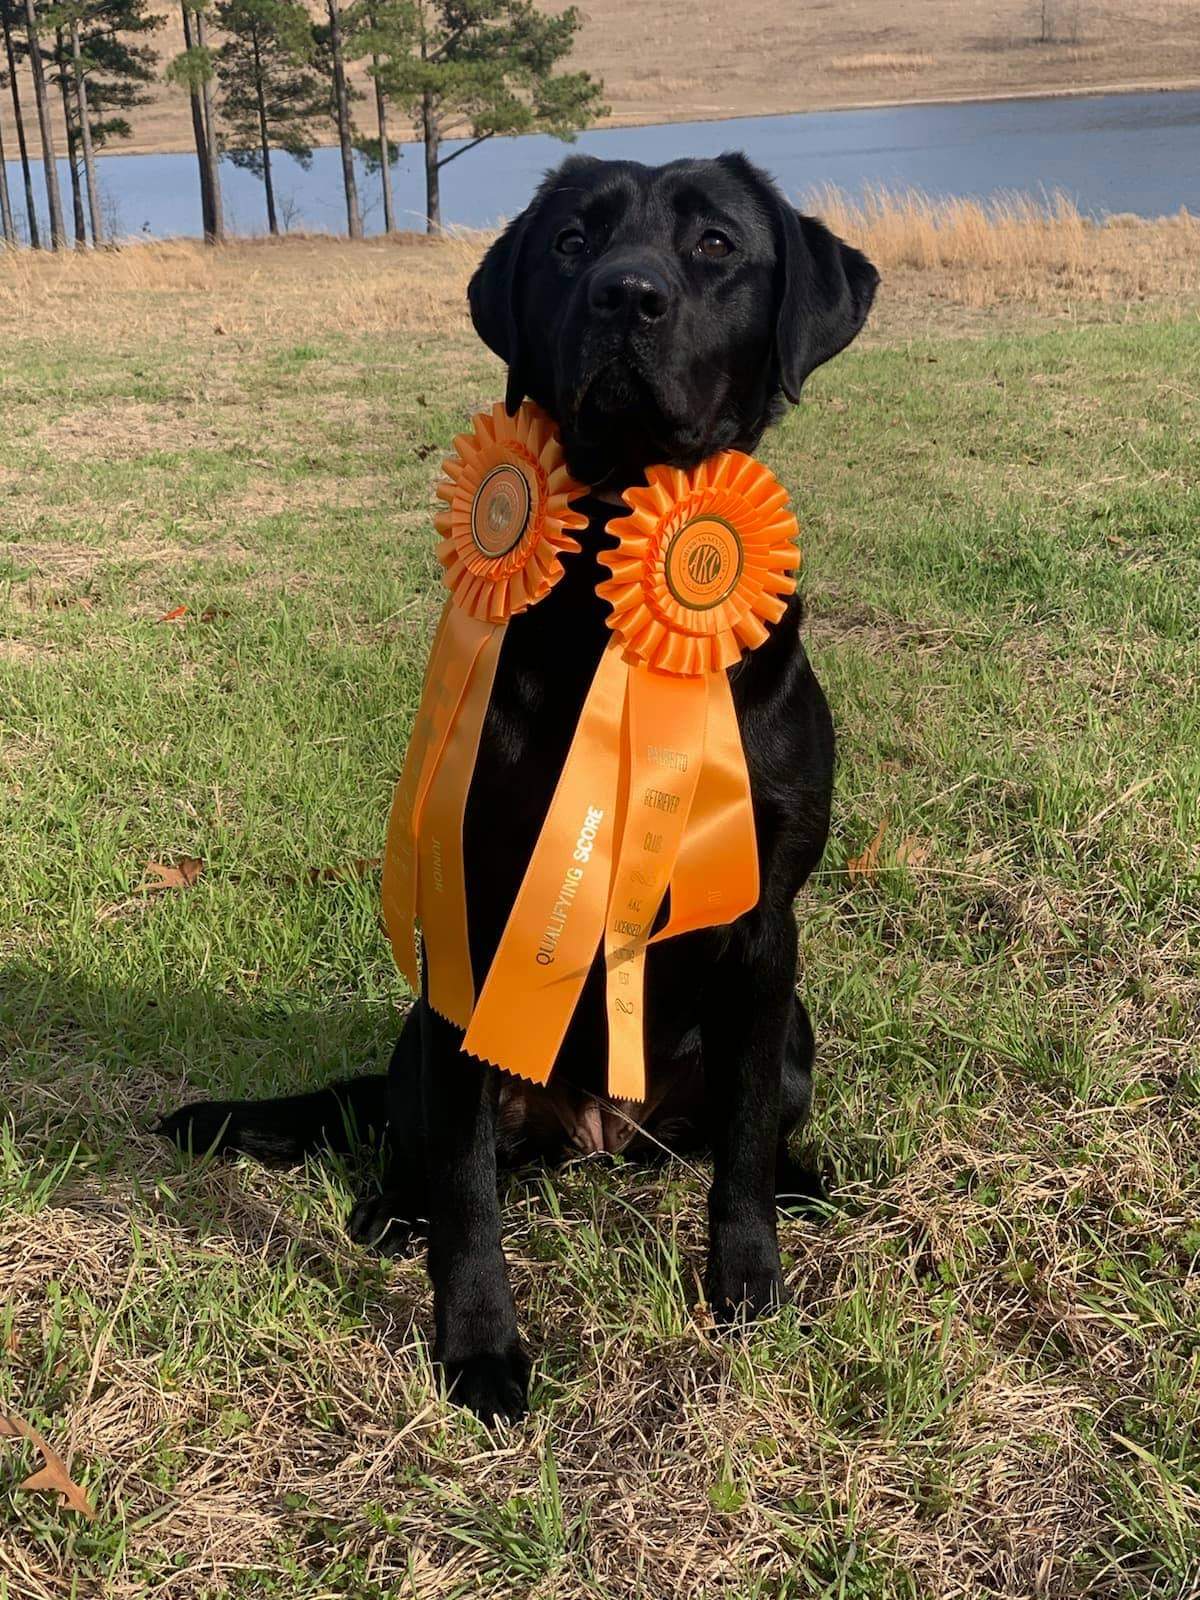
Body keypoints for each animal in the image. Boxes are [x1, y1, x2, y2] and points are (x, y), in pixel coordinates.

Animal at [160, 152, 876, 1427]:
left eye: (714, 245)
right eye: (571, 242)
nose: (626, 295)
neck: (611, 615)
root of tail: (597, 1131)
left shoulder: (766, 923)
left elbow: (741, 1146)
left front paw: (748, 1285)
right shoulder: (475, 910)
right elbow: (468, 1188)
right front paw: (479, 1347)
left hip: (790, 1025)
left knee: (743, 1123)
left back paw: (801, 1179)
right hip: (426, 1031)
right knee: (428, 1144)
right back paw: (392, 1210)